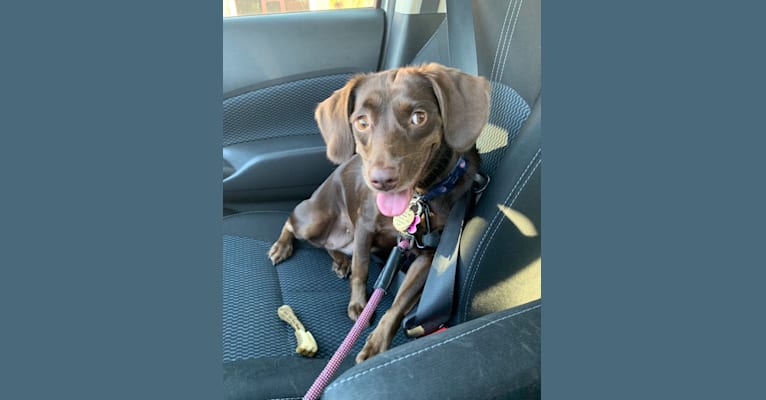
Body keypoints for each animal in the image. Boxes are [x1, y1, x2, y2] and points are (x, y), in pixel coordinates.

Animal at [268, 62, 488, 362]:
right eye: (362, 122)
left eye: (419, 117)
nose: (382, 180)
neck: (419, 197)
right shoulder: (365, 227)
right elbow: (361, 270)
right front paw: (360, 306)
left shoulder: (428, 255)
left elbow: (399, 303)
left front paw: (377, 343)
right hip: (314, 218)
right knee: (293, 224)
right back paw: (283, 247)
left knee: (327, 245)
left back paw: (340, 260)